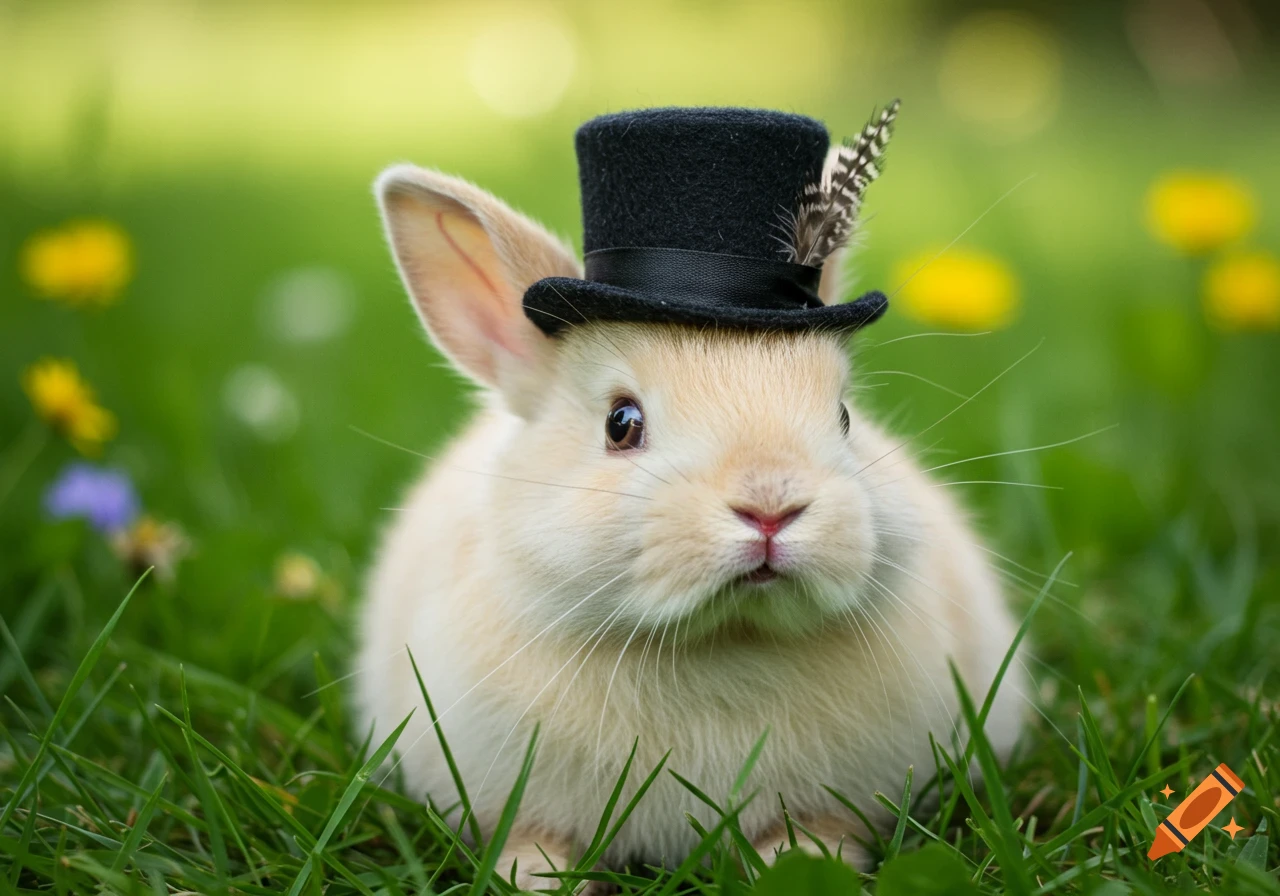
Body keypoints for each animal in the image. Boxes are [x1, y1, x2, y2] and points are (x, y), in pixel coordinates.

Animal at [353, 164, 1027, 891]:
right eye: (621, 423)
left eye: (845, 416)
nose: (770, 505)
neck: (721, 639)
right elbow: (533, 847)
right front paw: (537, 881)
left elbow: (814, 838)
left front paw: (804, 866)